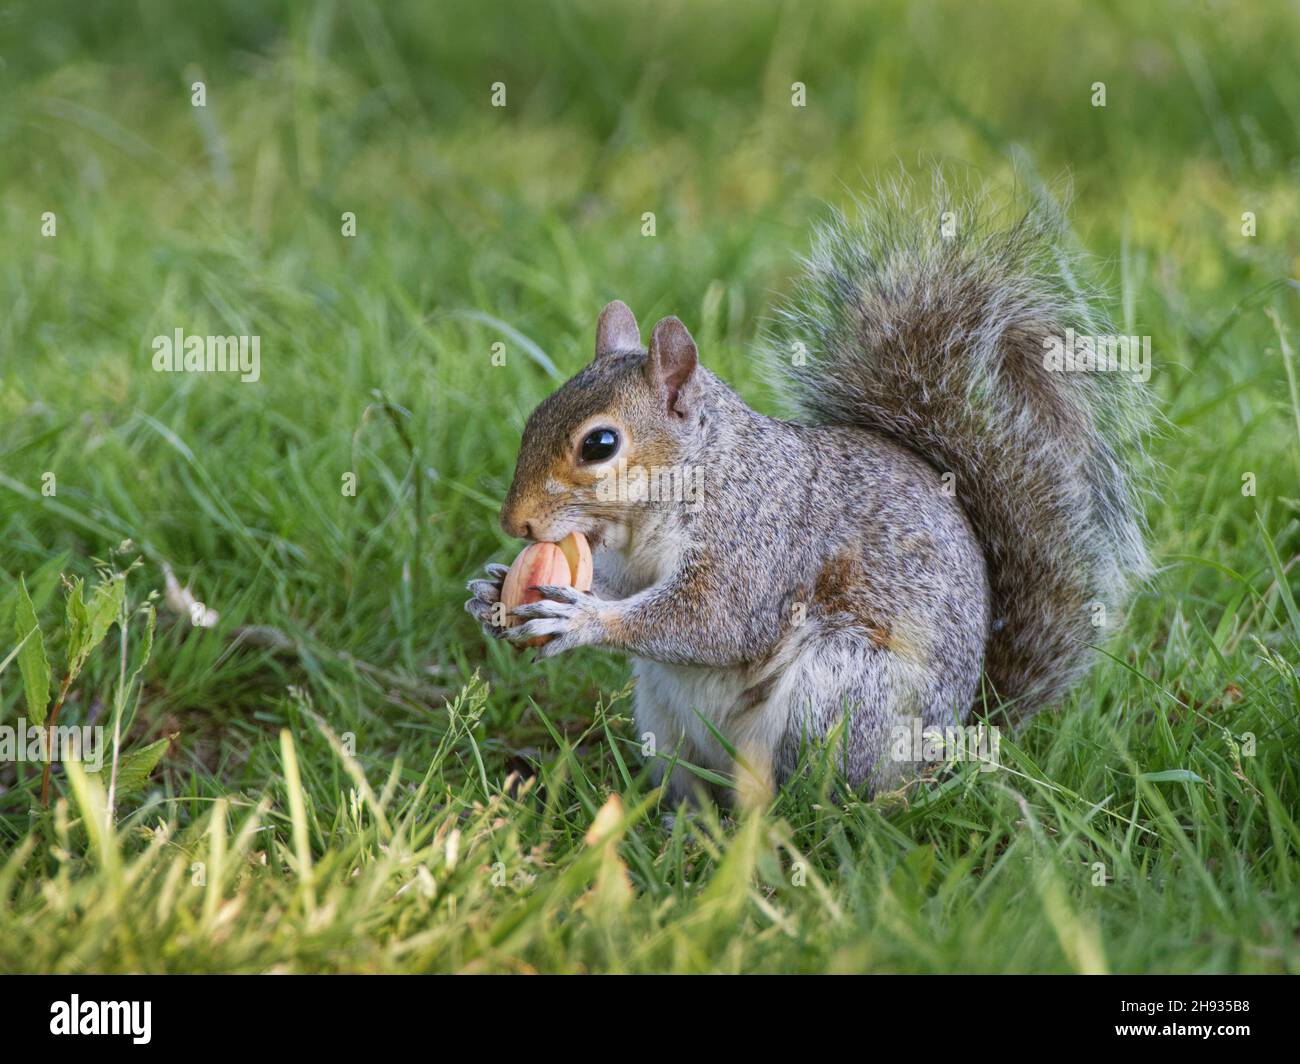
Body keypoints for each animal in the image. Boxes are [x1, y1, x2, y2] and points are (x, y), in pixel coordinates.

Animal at [462, 178, 1154, 801]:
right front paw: (492, 590)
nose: (514, 524)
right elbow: (626, 589)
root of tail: (948, 753)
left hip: (837, 693)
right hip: (666, 716)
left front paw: (580, 618)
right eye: (534, 416)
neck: (693, 479)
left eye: (599, 445)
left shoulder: (756, 541)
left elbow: (713, 620)